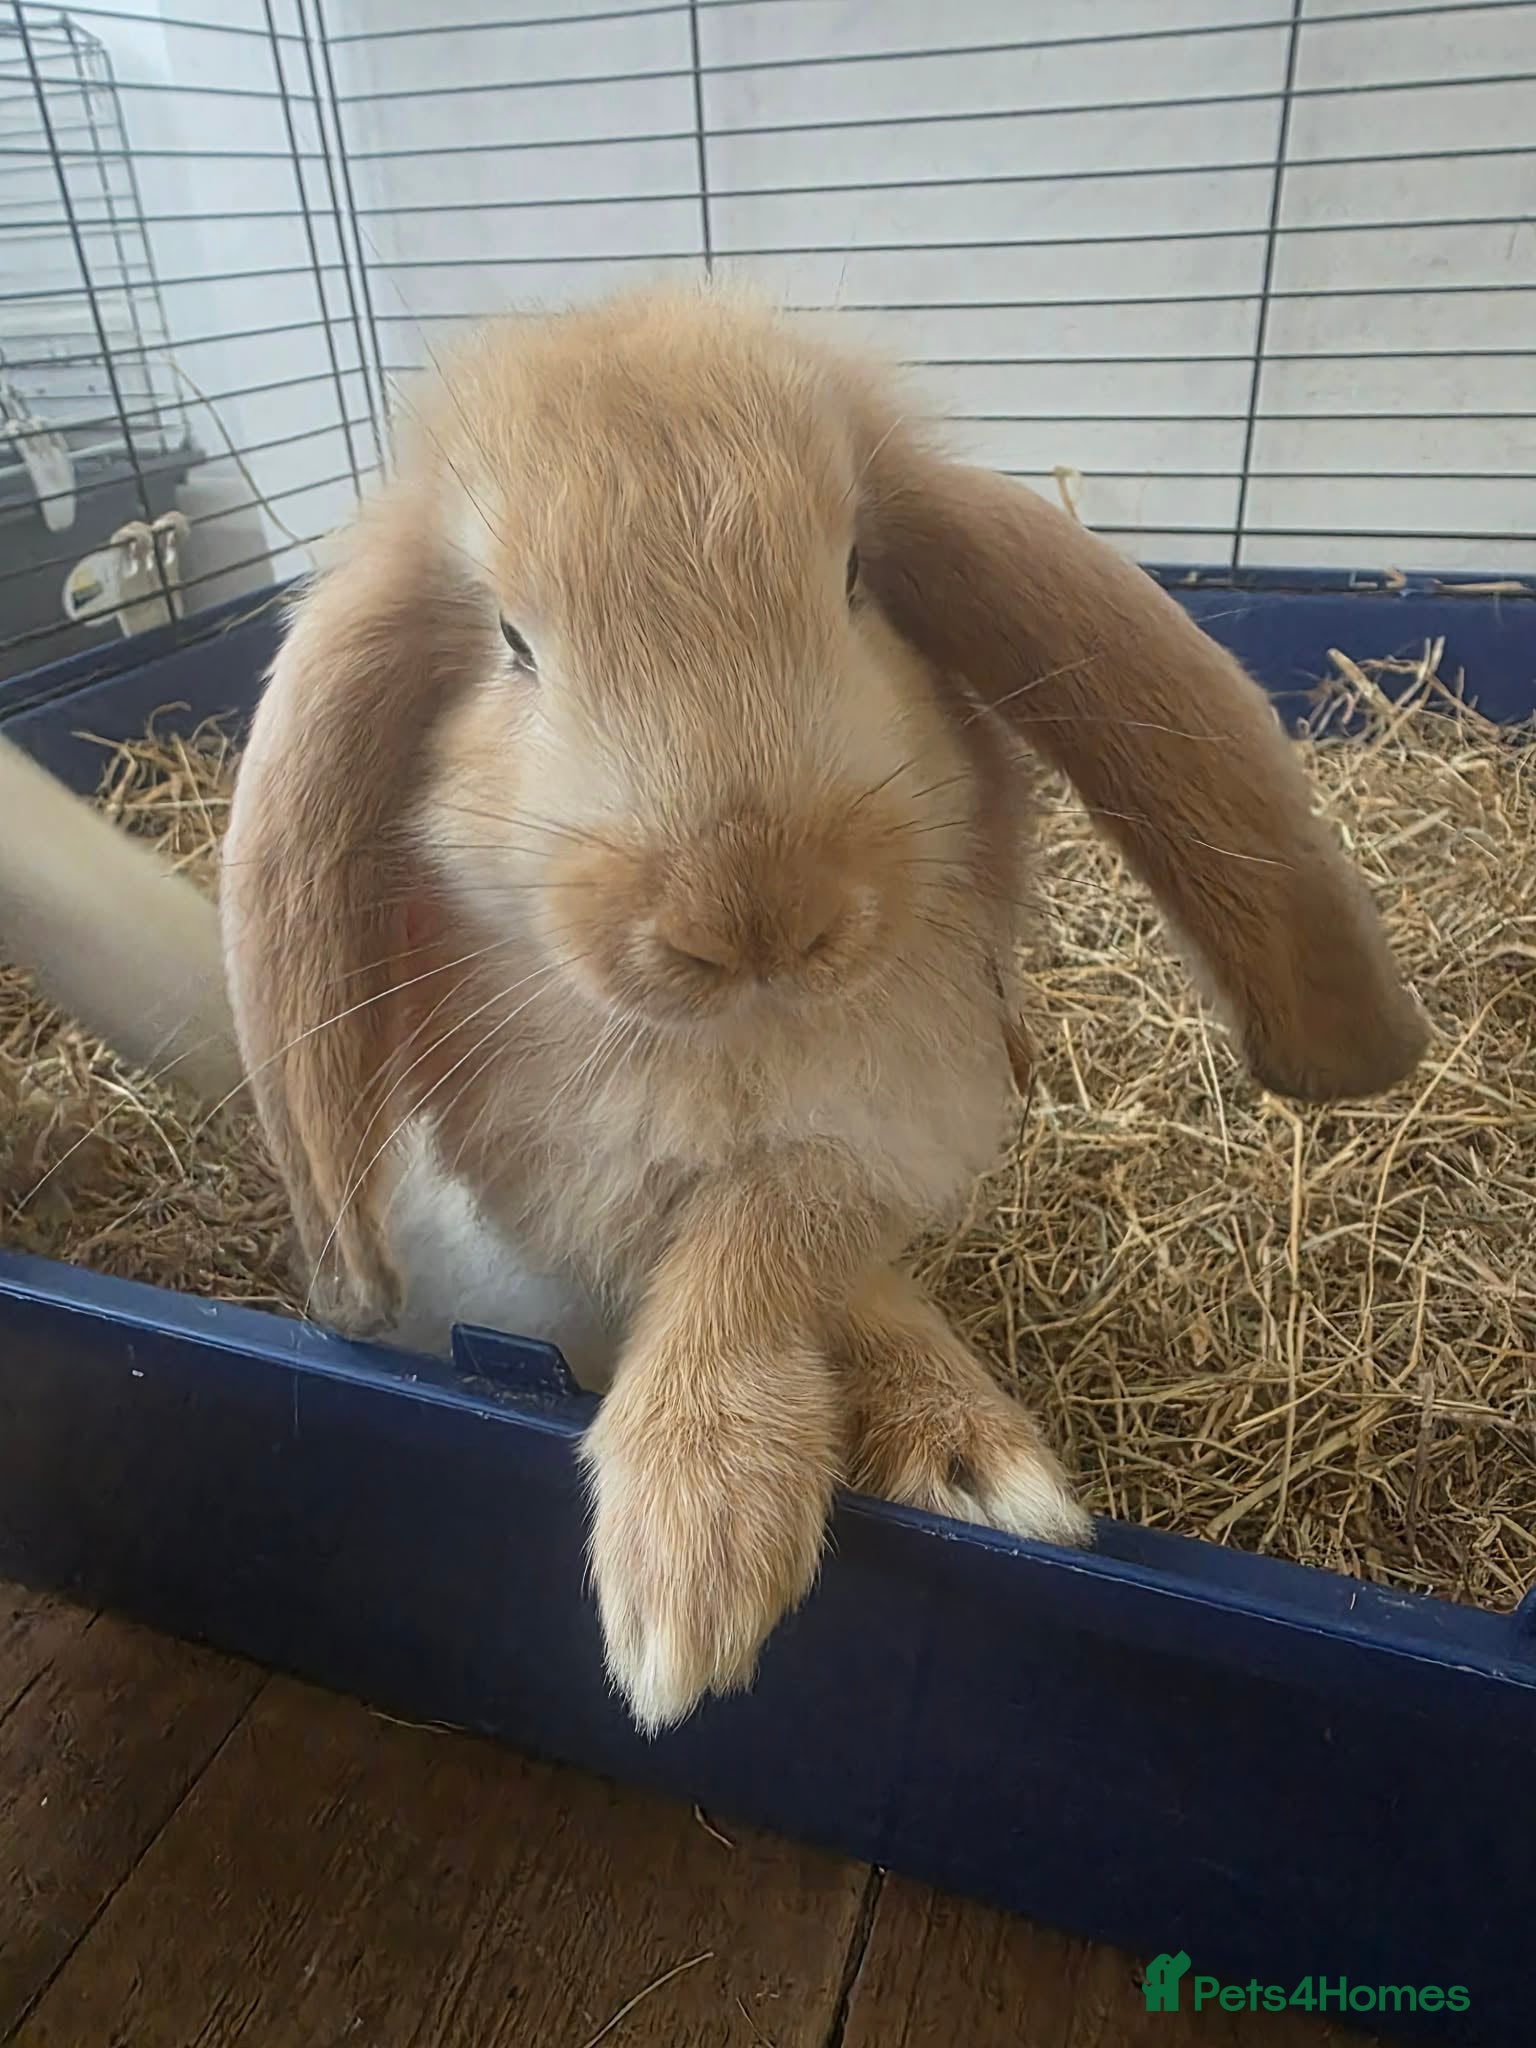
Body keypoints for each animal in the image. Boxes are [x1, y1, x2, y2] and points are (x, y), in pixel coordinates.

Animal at [215, 282, 1427, 1732]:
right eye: (512, 643)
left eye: (853, 579)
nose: (753, 910)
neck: (743, 1035)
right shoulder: (580, 1185)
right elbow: (749, 1256)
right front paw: (695, 1570)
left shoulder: (879, 1136)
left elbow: (774, 1242)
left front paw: (866, 1494)